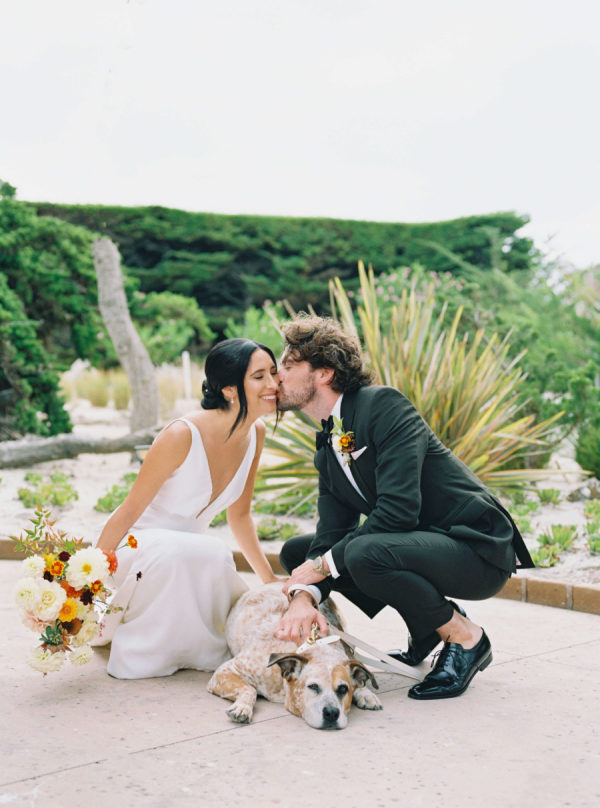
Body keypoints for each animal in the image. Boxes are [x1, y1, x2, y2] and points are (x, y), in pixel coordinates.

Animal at [209, 584, 382, 728]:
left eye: (343, 689)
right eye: (313, 686)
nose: (332, 713)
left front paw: (365, 693)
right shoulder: (226, 671)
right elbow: (249, 689)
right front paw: (242, 707)